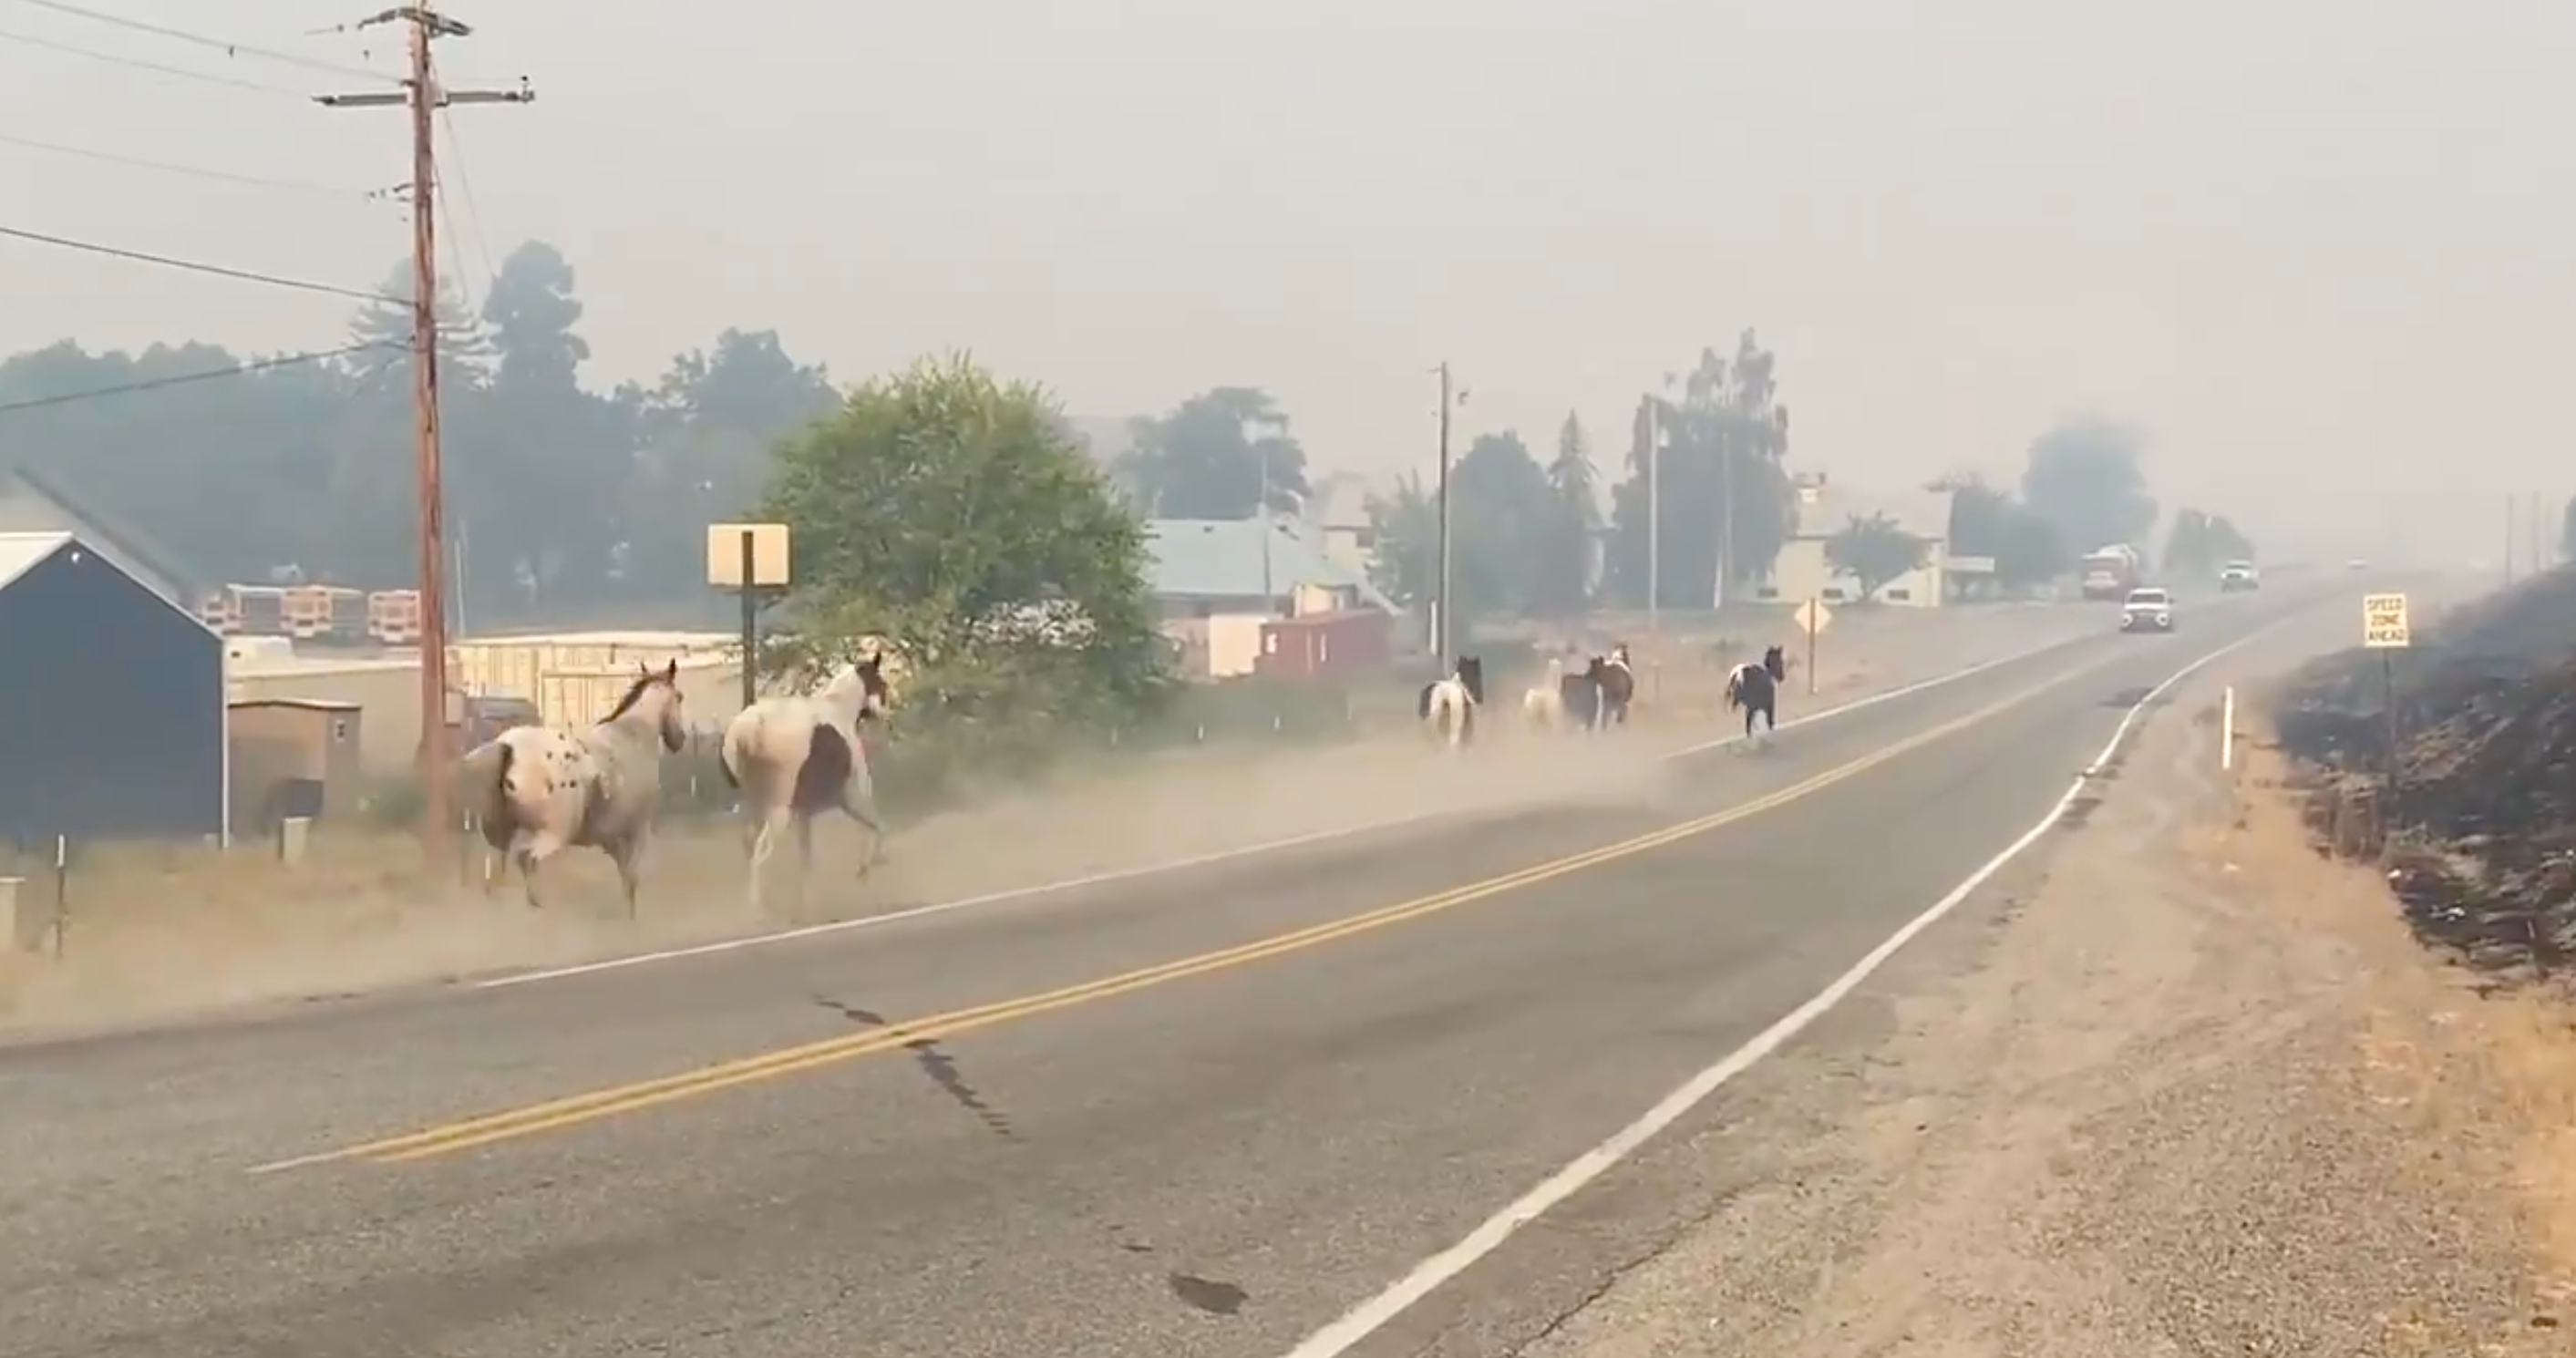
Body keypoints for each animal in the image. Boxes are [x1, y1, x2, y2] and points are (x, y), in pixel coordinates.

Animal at [460, 659, 685, 911]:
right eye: (680, 696)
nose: (680, 739)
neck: (633, 734)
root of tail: (508, 747)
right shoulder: (637, 831)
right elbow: (631, 879)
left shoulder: (611, 839)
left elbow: (625, 875)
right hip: (552, 835)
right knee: (527, 860)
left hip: (500, 837)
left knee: (495, 878)